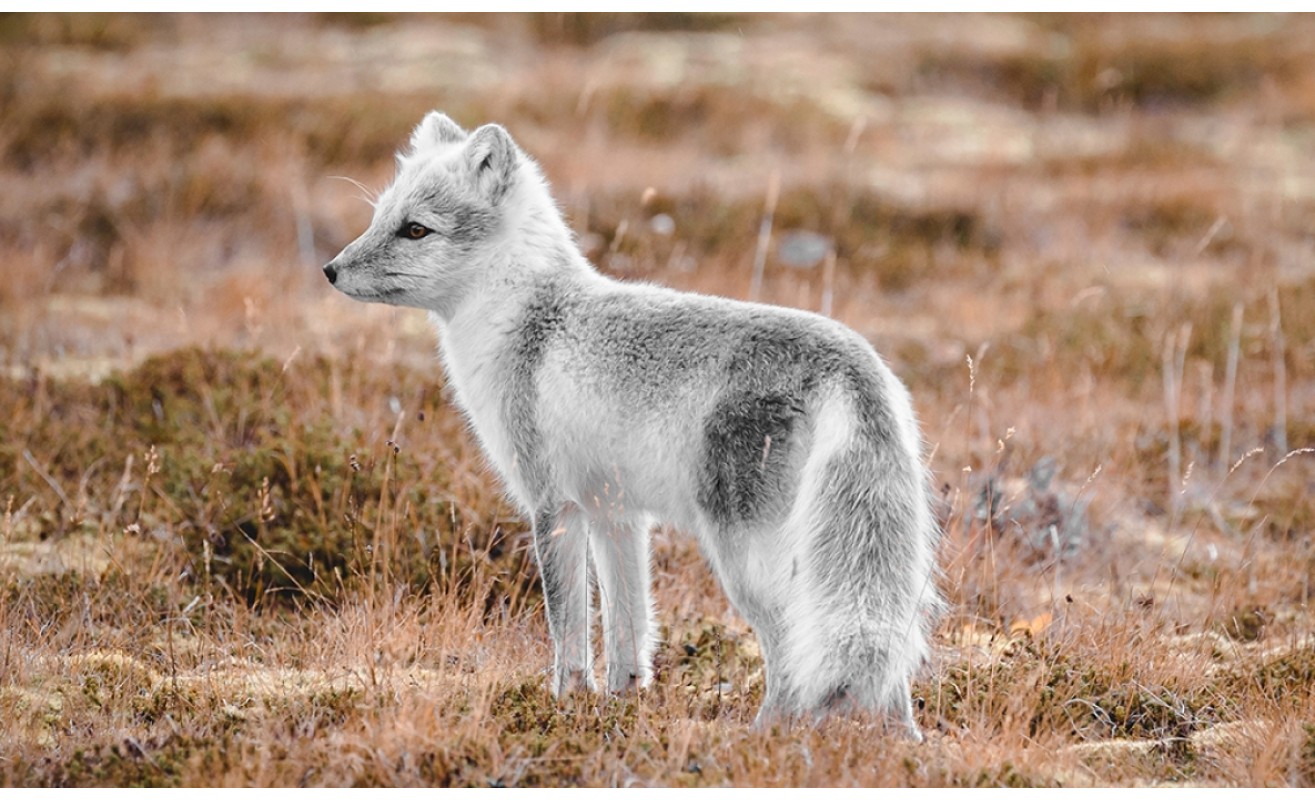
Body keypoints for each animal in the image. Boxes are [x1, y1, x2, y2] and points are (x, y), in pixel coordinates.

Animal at [323, 111, 941, 737]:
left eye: (415, 230)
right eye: (379, 218)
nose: (330, 270)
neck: (527, 322)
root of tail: (853, 363)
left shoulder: (553, 507)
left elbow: (569, 631)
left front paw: (566, 705)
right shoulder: (616, 514)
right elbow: (628, 628)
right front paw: (621, 704)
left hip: (748, 559)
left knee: (792, 657)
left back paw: (761, 738)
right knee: (885, 669)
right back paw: (900, 742)